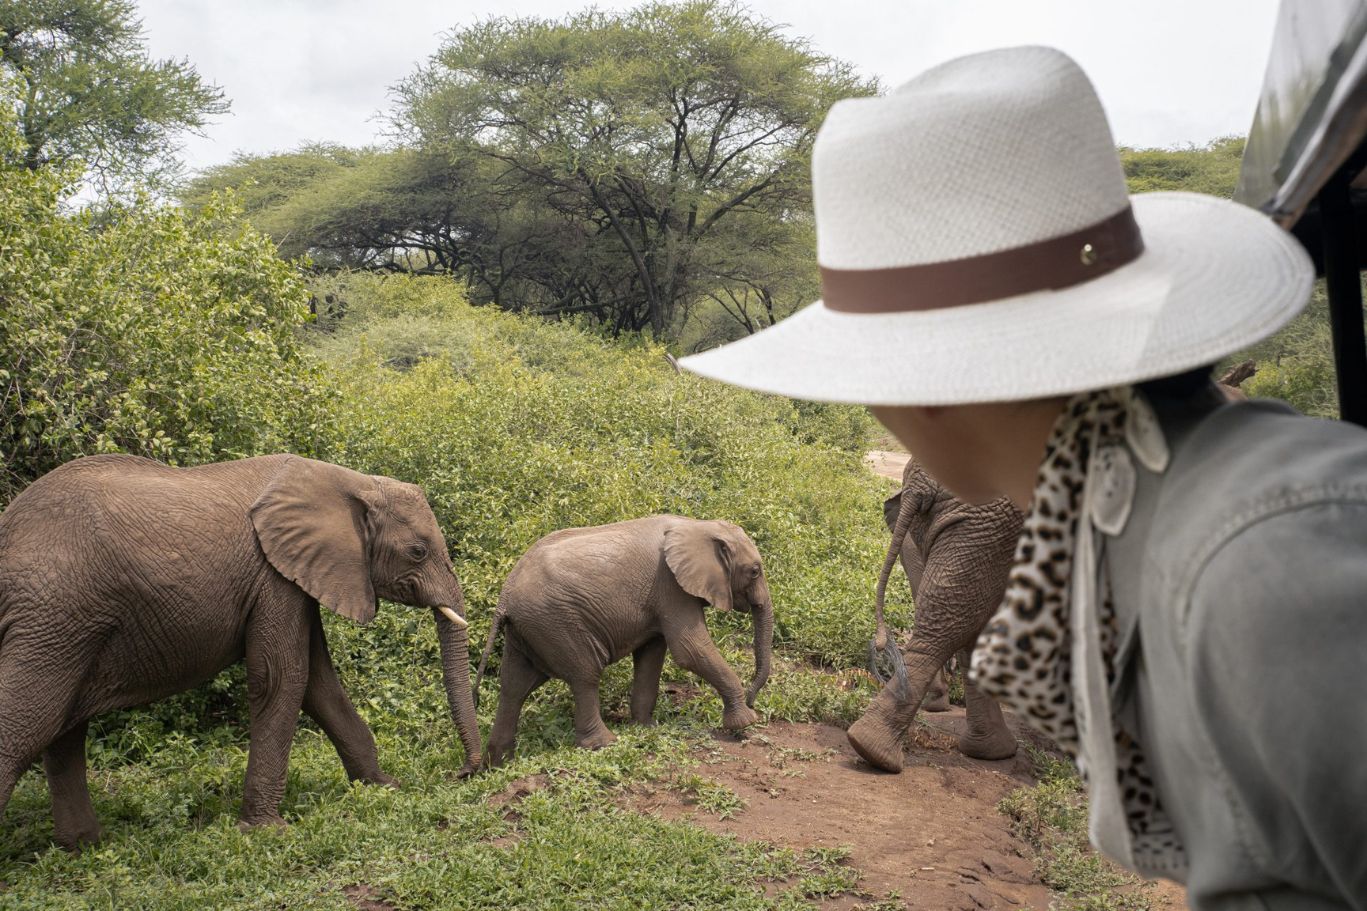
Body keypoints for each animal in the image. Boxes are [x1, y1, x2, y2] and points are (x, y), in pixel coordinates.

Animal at [0, 453, 482, 849]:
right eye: (418, 551)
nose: (464, 773)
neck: (348, 480)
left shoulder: (294, 574)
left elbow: (318, 682)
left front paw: (383, 787)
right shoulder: (272, 575)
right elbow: (283, 676)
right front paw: (268, 830)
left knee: (63, 728)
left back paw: (84, 847)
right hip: (53, 612)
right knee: (31, 719)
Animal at [475, 516, 773, 767]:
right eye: (755, 571)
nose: (752, 698)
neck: (698, 525)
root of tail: (505, 595)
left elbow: (652, 653)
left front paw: (645, 728)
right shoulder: (671, 587)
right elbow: (689, 649)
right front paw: (744, 723)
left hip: (527, 630)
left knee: (514, 687)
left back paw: (499, 763)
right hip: (556, 623)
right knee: (584, 675)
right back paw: (603, 744)